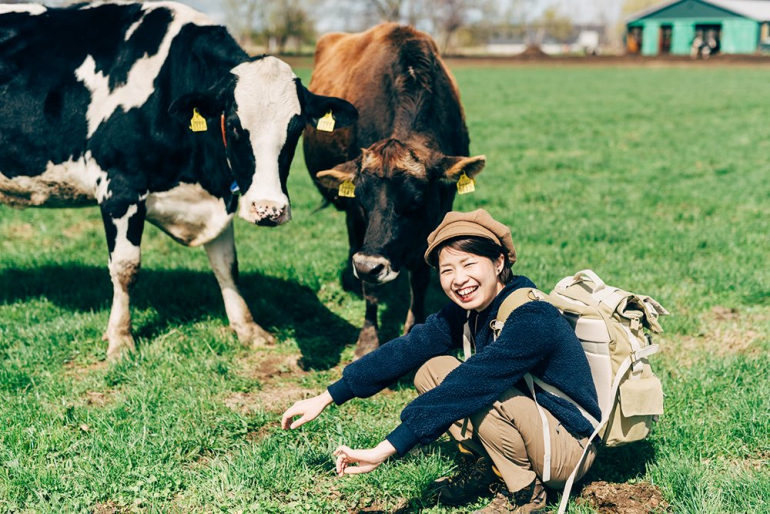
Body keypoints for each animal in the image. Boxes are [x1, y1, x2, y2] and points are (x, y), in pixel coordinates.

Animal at [0, 2, 356, 356]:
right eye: (235, 124)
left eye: (296, 128)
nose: (269, 209)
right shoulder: (120, 189)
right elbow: (126, 268)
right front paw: (120, 339)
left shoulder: (218, 198)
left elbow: (227, 265)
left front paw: (248, 328)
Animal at [304, 23, 484, 356]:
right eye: (362, 200)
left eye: (416, 201)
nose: (367, 266)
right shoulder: (356, 217)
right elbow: (371, 291)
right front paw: (367, 339)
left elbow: (421, 280)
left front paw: (413, 328)